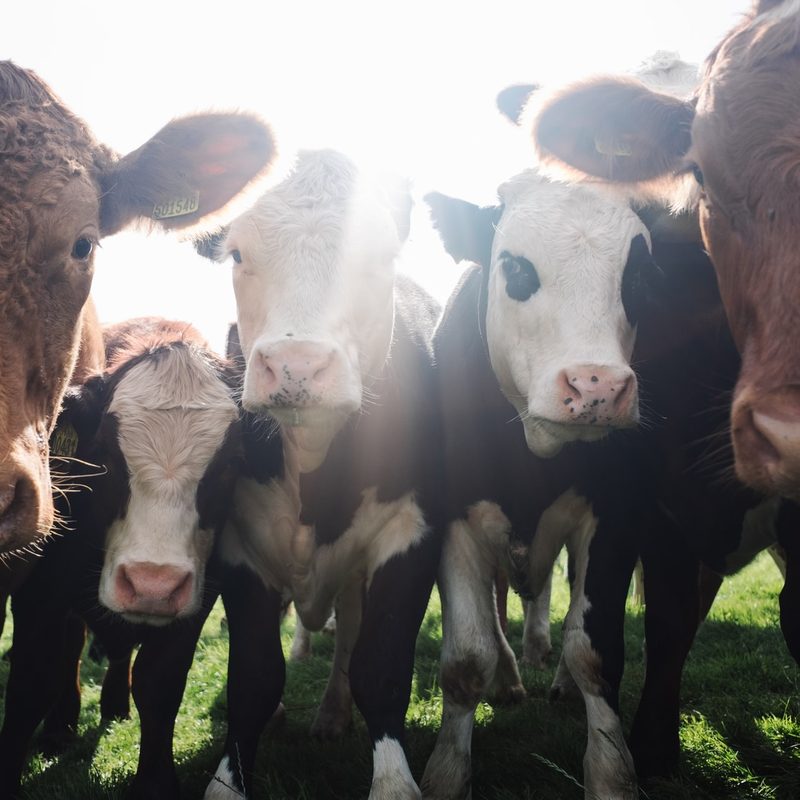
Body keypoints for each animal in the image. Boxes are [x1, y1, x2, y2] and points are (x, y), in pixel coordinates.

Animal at [0, 318, 246, 800]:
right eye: (107, 457)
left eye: (228, 465)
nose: (152, 584)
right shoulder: (43, 588)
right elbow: (31, 681)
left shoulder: (200, 594)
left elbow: (160, 682)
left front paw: (154, 782)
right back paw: (61, 727)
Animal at [197, 149, 443, 800]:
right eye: (237, 253)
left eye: (380, 255)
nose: (296, 365)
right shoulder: (240, 546)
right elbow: (254, 678)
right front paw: (227, 779)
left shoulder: (411, 532)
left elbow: (379, 666)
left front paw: (393, 782)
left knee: (351, 636)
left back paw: (332, 713)